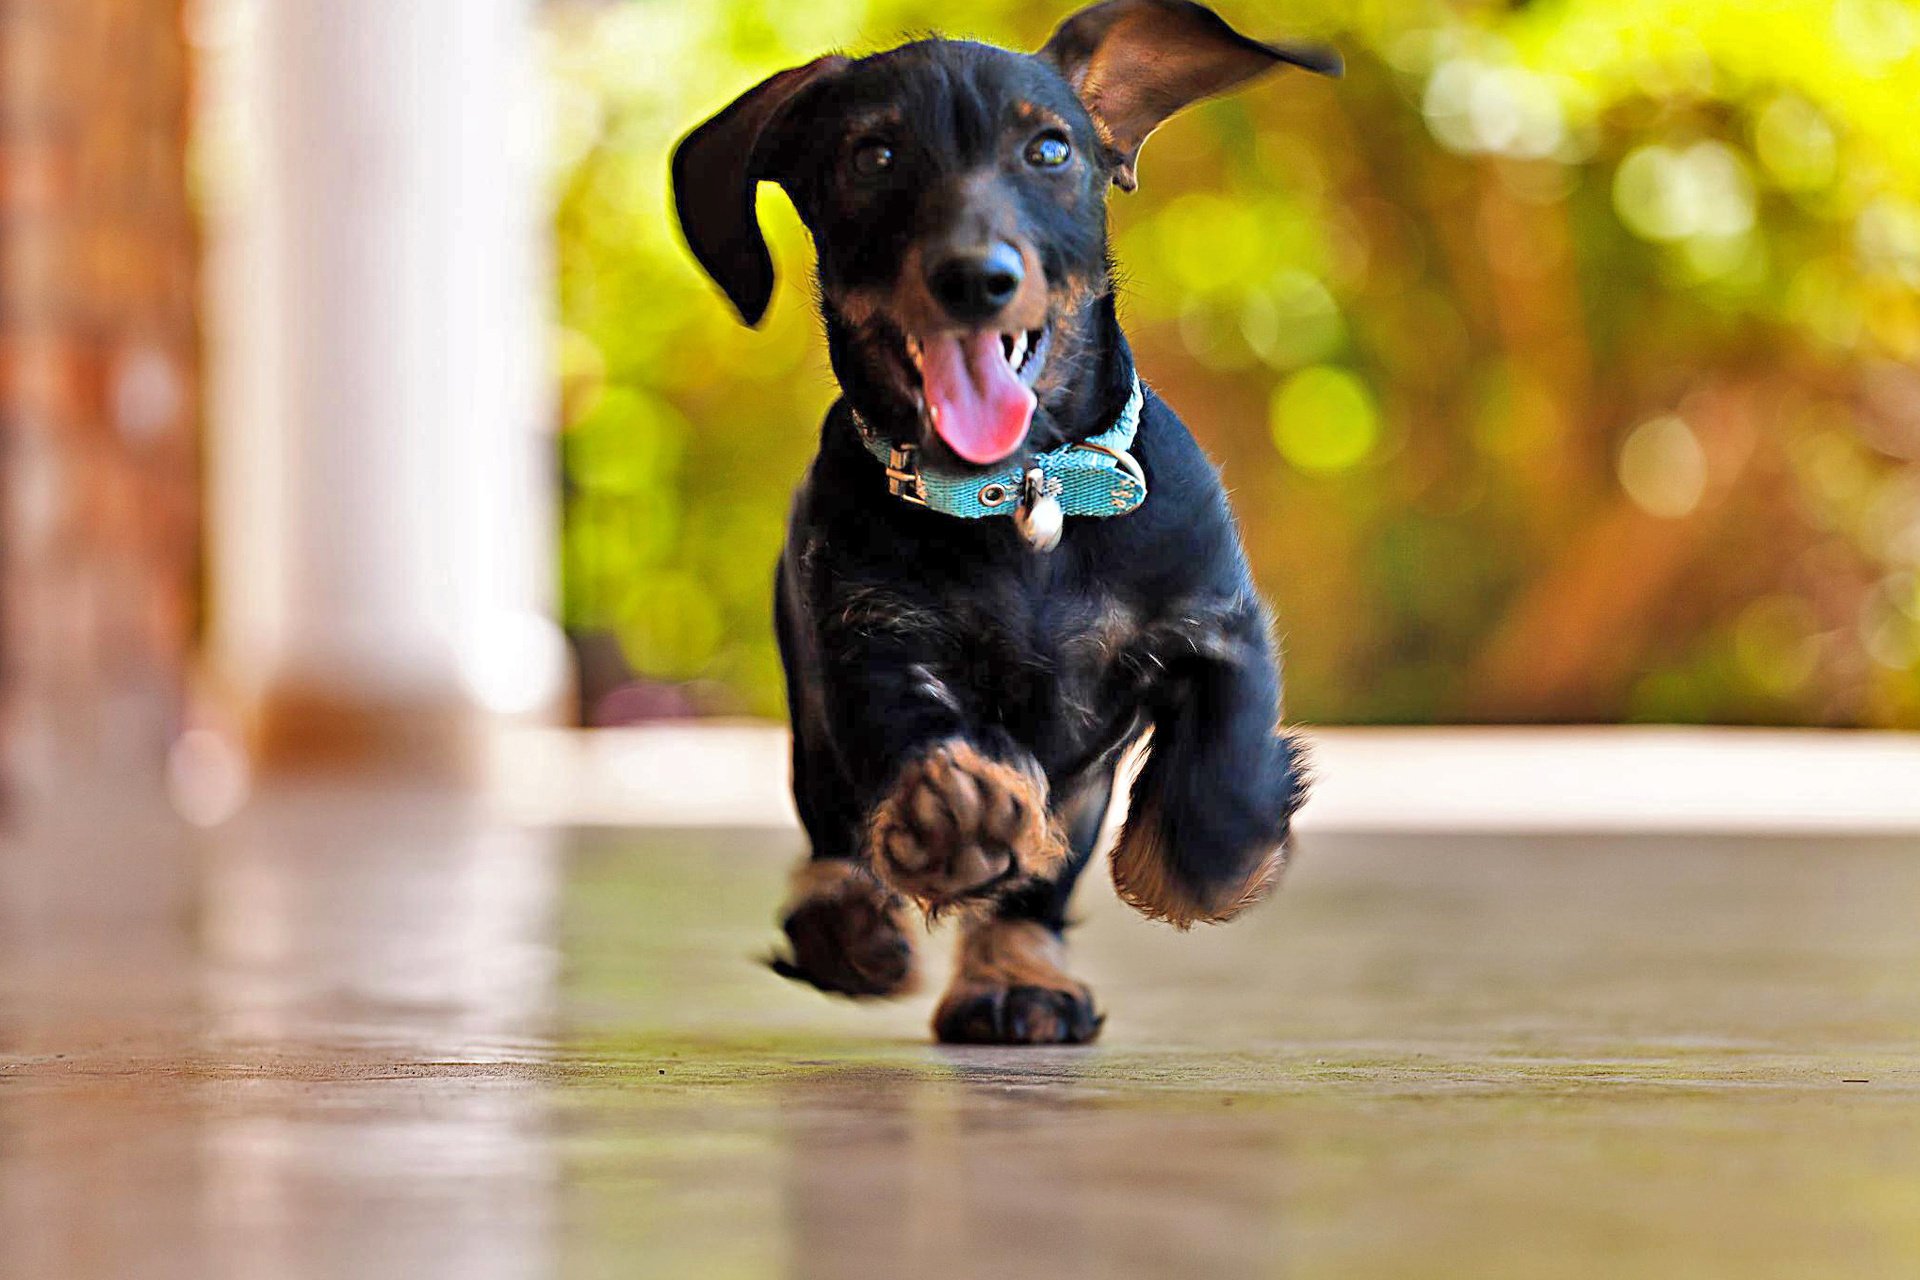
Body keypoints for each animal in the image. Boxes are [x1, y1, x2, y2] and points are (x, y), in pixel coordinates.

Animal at [672, 0, 1336, 1043]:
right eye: (873, 156)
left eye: (1050, 148)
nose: (973, 277)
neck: (1022, 497)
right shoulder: (867, 636)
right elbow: (913, 731)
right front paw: (953, 817)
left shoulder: (1217, 620)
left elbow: (1225, 750)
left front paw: (1205, 858)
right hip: (813, 728)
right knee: (834, 831)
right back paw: (847, 923)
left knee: (1036, 891)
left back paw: (1020, 979)